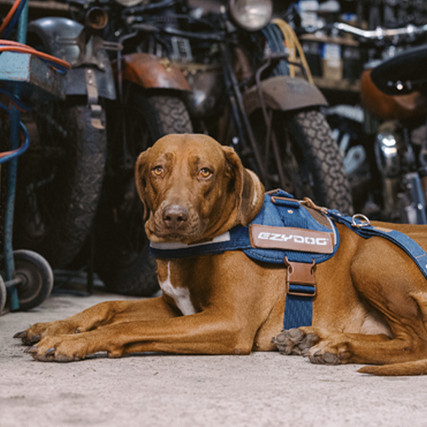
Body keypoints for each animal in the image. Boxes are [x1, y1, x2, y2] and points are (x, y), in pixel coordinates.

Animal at [15, 135, 427, 376]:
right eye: (158, 169)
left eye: (205, 172)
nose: (174, 216)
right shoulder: (175, 307)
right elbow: (107, 306)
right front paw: (52, 326)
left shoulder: (228, 321)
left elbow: (127, 327)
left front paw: (70, 342)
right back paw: (313, 338)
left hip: (370, 256)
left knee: (415, 341)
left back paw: (337, 346)